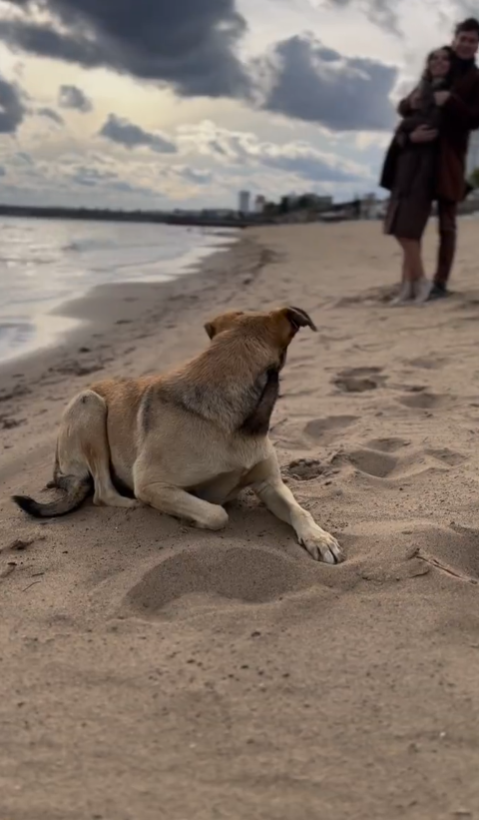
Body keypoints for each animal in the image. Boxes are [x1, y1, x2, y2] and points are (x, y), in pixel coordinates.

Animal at [13, 306, 344, 564]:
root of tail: (56, 462)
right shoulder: (151, 483)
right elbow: (216, 513)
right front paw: (188, 516)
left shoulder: (269, 483)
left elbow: (300, 511)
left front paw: (320, 538)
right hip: (89, 404)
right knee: (102, 492)